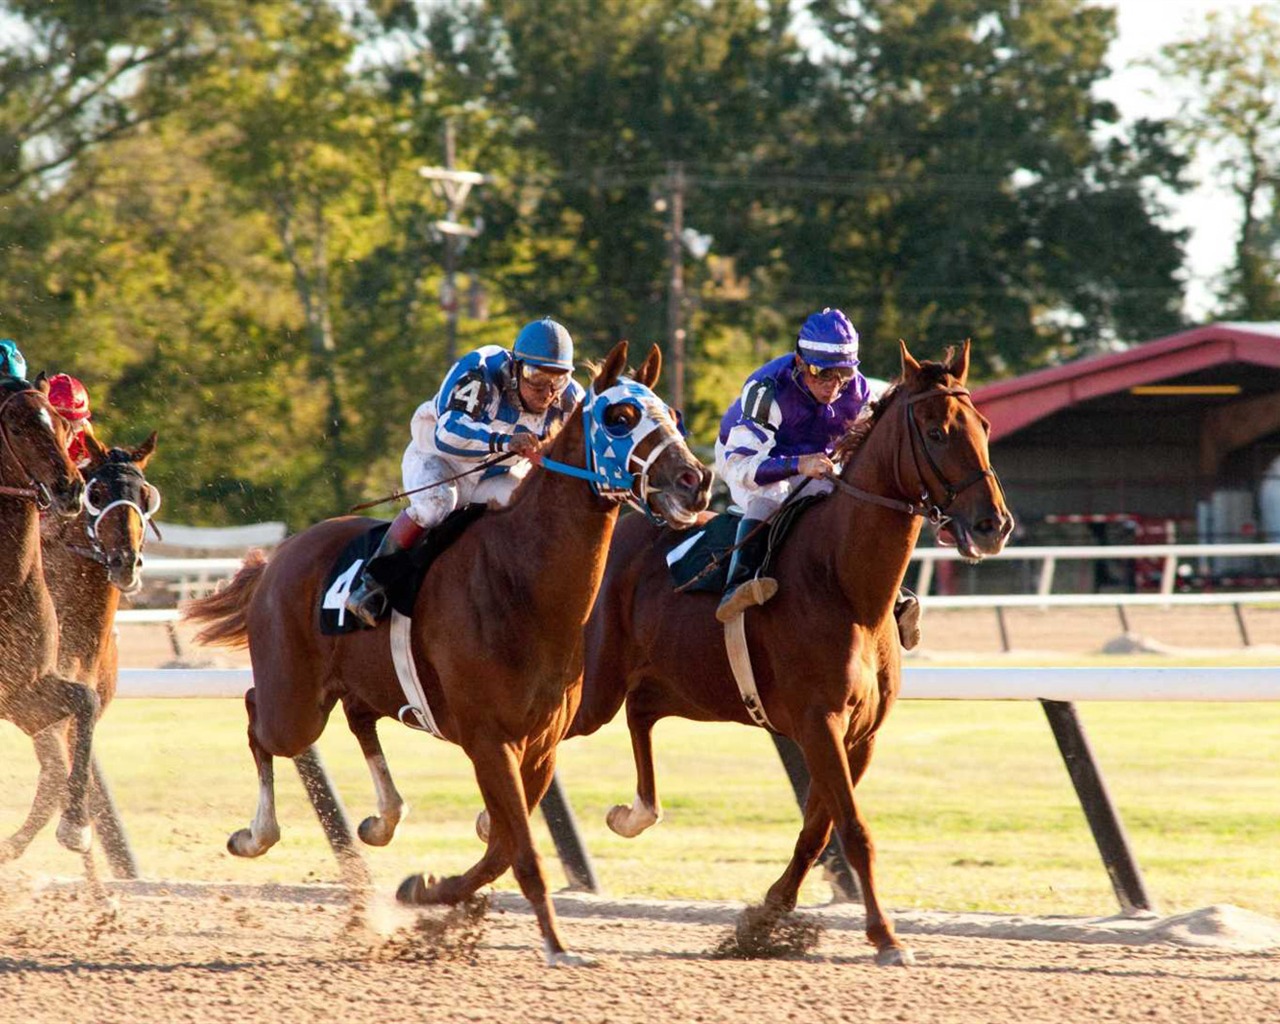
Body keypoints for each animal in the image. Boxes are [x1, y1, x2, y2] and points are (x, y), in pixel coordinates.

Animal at [185, 343, 716, 967]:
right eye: (621, 417)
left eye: (673, 416)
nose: (696, 480)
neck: (522, 582)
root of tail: (278, 557)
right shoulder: (490, 740)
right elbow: (520, 849)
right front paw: (556, 945)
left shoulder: (540, 746)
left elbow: (503, 846)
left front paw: (428, 890)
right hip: (295, 703)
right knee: (258, 717)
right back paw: (255, 835)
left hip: (362, 683)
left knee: (358, 717)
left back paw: (383, 818)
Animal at [568, 343, 1008, 967]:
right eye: (937, 431)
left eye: (984, 426)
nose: (992, 525)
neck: (845, 584)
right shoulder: (818, 721)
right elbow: (853, 829)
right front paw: (886, 936)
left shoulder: (859, 734)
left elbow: (819, 829)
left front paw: (766, 917)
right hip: (594, 687)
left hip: (669, 683)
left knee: (640, 716)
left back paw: (633, 814)